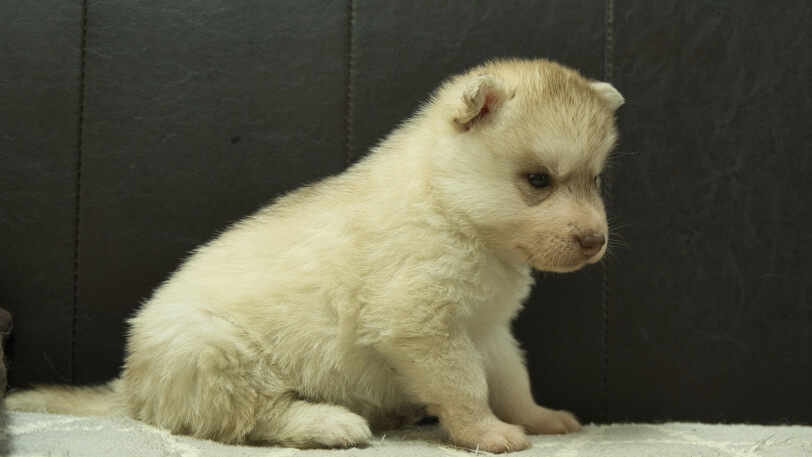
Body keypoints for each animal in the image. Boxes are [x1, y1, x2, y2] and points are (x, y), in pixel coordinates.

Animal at [7, 58, 620, 452]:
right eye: (538, 179)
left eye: (595, 180)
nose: (596, 241)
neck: (448, 207)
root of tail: (130, 391)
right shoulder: (423, 325)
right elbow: (466, 387)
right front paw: (486, 433)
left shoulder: (488, 330)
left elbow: (512, 381)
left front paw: (539, 418)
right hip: (215, 352)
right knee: (252, 418)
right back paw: (328, 423)